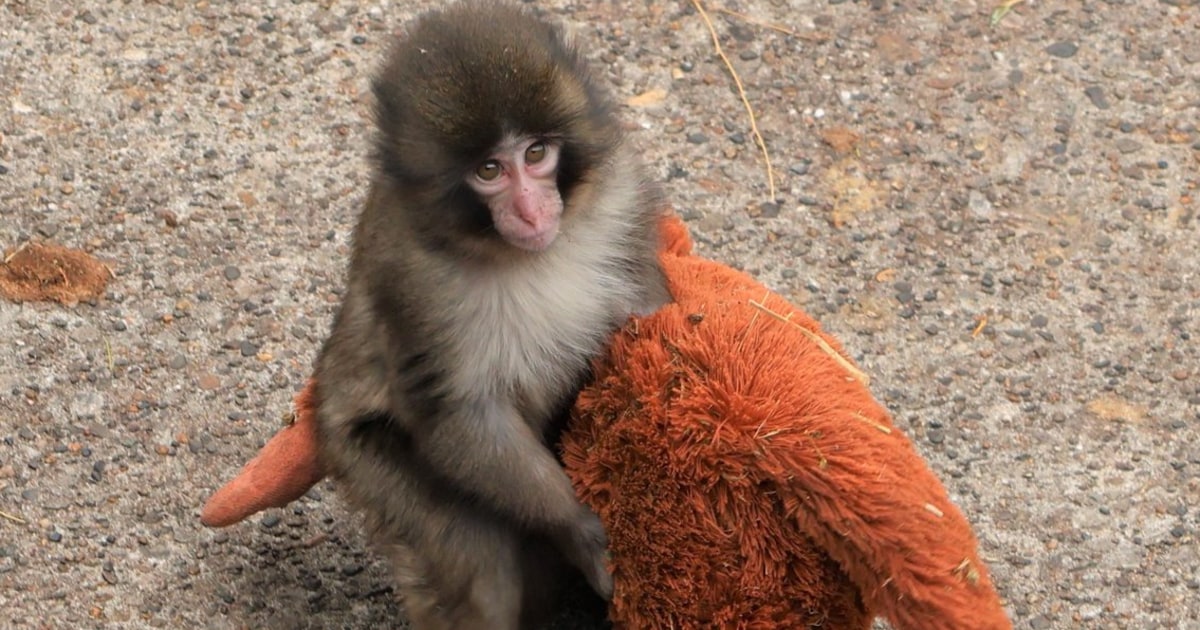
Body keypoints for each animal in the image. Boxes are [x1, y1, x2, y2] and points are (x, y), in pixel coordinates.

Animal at [311, 3, 670, 629]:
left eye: (536, 154)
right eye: (488, 171)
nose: (530, 210)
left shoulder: (619, 196)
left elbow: (644, 304)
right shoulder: (414, 281)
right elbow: (460, 413)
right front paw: (581, 531)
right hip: (364, 457)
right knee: (479, 567)